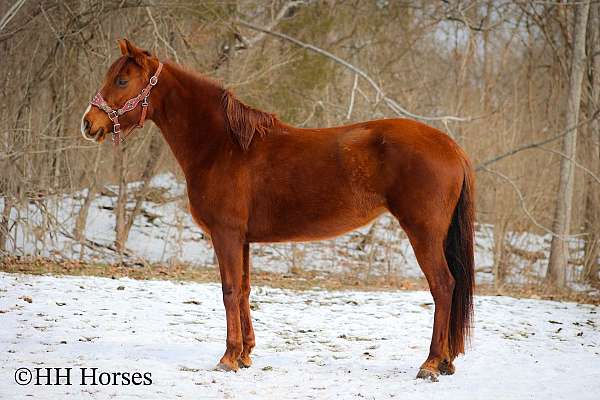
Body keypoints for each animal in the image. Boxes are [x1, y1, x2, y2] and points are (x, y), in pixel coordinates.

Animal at [82, 39, 474, 382]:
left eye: (121, 80)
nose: (89, 123)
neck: (223, 146)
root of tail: (450, 145)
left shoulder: (225, 235)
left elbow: (228, 290)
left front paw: (228, 357)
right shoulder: (242, 240)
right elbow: (243, 290)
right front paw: (245, 355)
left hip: (423, 233)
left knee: (443, 286)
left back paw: (430, 363)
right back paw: (446, 362)